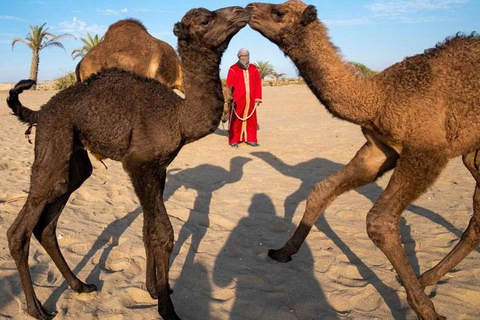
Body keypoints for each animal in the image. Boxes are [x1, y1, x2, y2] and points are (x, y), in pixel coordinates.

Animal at [5, 6, 249, 320]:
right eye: (206, 20)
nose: (241, 11)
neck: (178, 116)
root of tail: (39, 112)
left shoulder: (159, 169)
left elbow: (148, 229)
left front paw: (154, 289)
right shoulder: (138, 164)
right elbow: (164, 232)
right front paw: (167, 308)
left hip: (74, 161)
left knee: (47, 224)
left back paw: (81, 285)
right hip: (53, 143)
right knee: (20, 229)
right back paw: (37, 309)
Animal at [246, 1, 480, 318]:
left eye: (279, 12)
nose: (248, 8)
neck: (378, 98)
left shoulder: (428, 149)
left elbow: (379, 221)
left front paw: (427, 310)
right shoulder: (379, 150)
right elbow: (321, 191)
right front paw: (282, 251)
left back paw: (425, 280)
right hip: (473, 154)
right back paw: (427, 277)